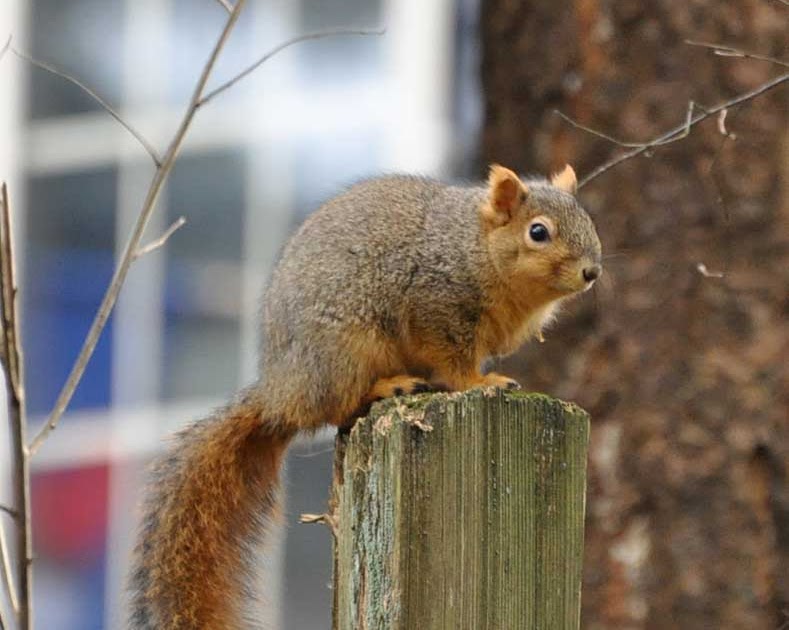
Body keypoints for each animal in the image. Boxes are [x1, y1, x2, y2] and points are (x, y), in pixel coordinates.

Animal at [128, 164, 602, 629]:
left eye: (589, 220)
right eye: (538, 232)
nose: (592, 273)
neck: (476, 246)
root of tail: (280, 395)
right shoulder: (436, 304)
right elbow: (453, 363)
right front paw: (480, 383)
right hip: (346, 353)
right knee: (339, 406)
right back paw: (389, 386)